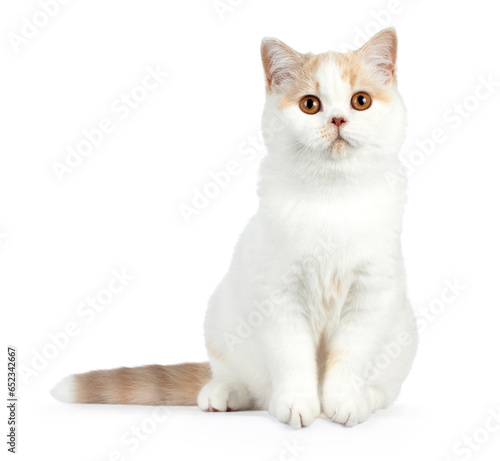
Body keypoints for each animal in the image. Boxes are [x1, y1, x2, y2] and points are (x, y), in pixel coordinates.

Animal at [50, 26, 418, 428]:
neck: (332, 199)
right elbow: (292, 355)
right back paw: (221, 394)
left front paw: (345, 401)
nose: (337, 120)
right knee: (244, 384)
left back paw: (369, 397)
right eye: (310, 105)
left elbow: (350, 354)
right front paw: (297, 402)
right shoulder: (277, 291)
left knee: (385, 389)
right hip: (220, 319)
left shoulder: (372, 293)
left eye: (360, 101)